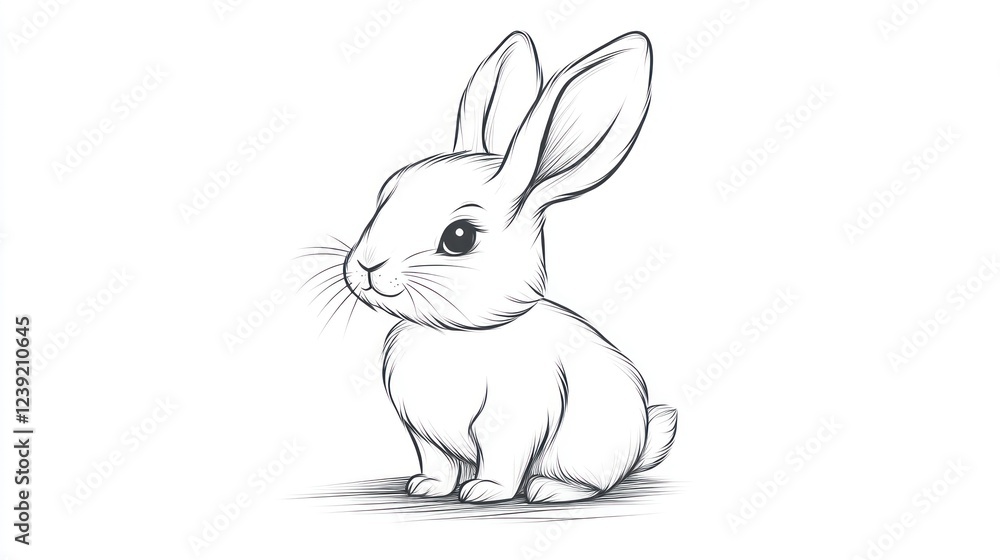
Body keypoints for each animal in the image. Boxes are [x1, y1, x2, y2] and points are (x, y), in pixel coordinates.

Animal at [341, 31, 677, 503]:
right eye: (385, 194)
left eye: (459, 237)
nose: (368, 266)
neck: (457, 335)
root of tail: (641, 445)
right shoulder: (423, 432)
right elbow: (438, 463)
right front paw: (427, 487)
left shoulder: (516, 419)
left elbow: (503, 458)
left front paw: (484, 491)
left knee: (592, 484)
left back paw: (548, 490)